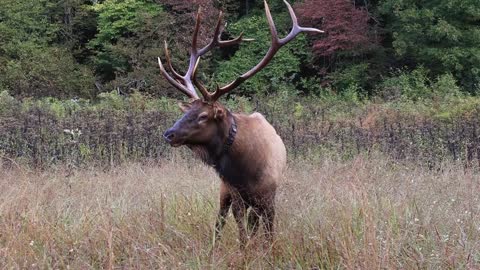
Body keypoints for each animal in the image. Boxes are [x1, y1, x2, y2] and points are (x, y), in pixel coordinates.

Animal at [158, 0, 322, 248]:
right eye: (189, 111)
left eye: (203, 116)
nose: (169, 134)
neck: (246, 170)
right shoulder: (235, 193)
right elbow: (241, 231)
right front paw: (245, 250)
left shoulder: (268, 195)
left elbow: (268, 232)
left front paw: (267, 250)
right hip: (224, 191)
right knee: (220, 221)